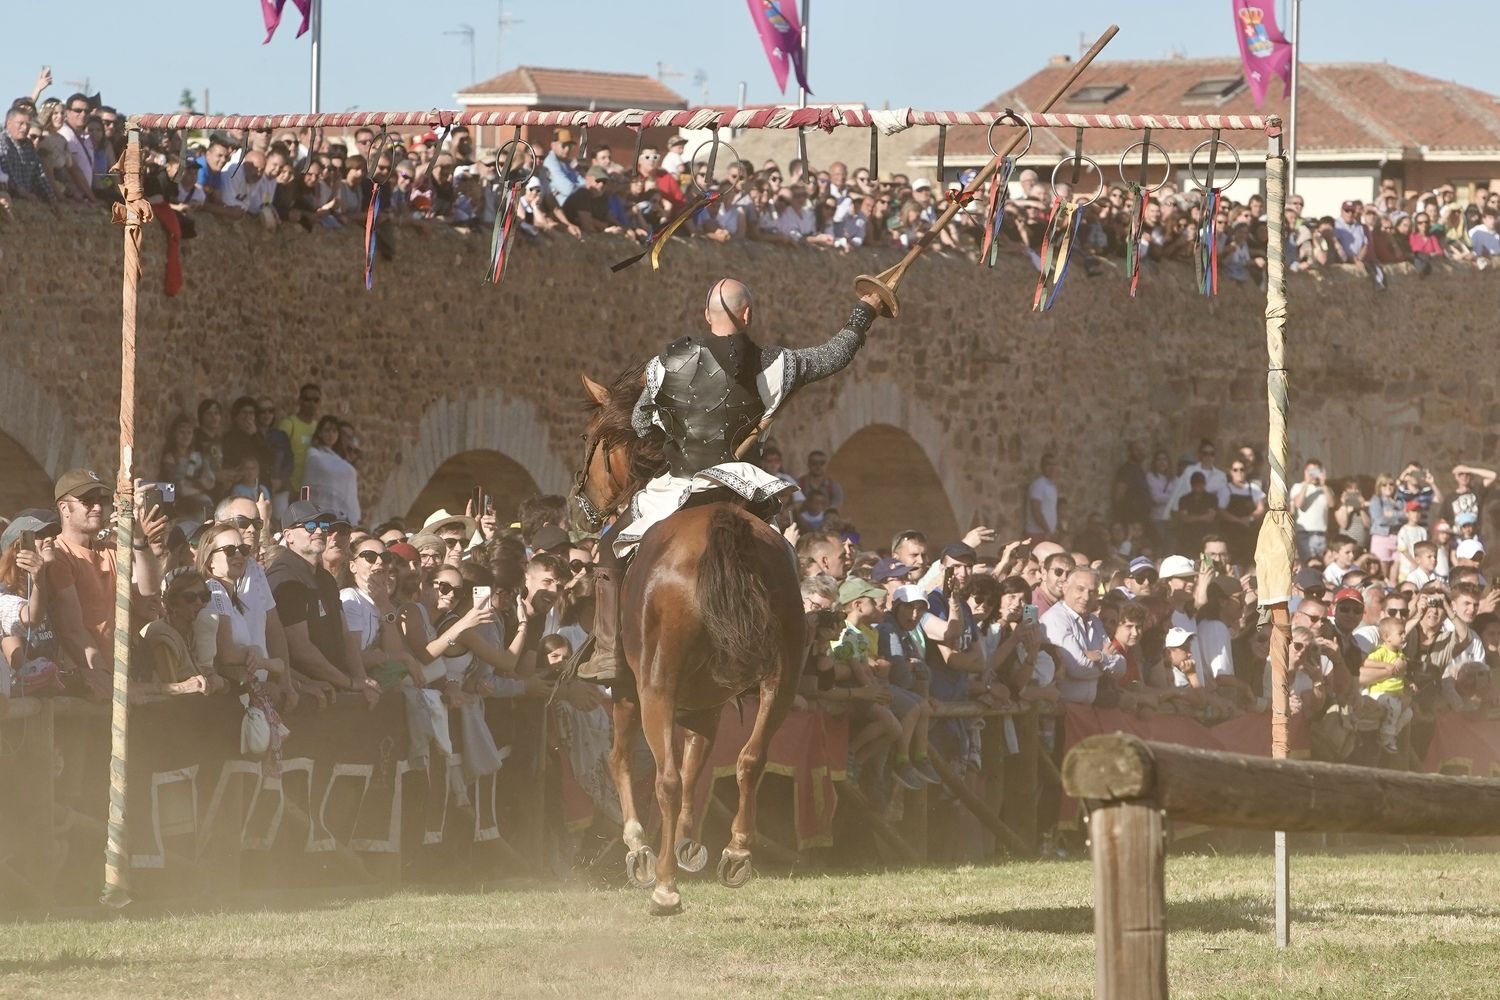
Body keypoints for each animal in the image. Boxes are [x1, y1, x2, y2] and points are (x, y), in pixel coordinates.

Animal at [573, 371, 810, 917]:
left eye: (589, 436)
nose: (583, 505)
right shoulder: (707, 705)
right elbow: (698, 765)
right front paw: (686, 843)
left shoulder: (629, 690)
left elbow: (626, 762)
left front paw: (640, 848)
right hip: (780, 680)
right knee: (750, 759)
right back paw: (736, 854)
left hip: (655, 687)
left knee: (663, 777)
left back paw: (663, 885)